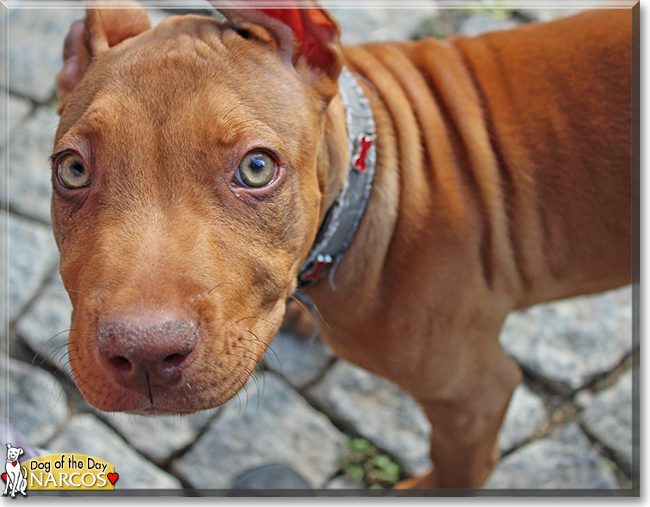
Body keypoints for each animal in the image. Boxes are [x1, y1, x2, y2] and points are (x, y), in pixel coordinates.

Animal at [53, 0, 632, 490]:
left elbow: (456, 471)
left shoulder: (475, 393)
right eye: (72, 170)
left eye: (256, 167)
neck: (372, 176)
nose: (143, 354)